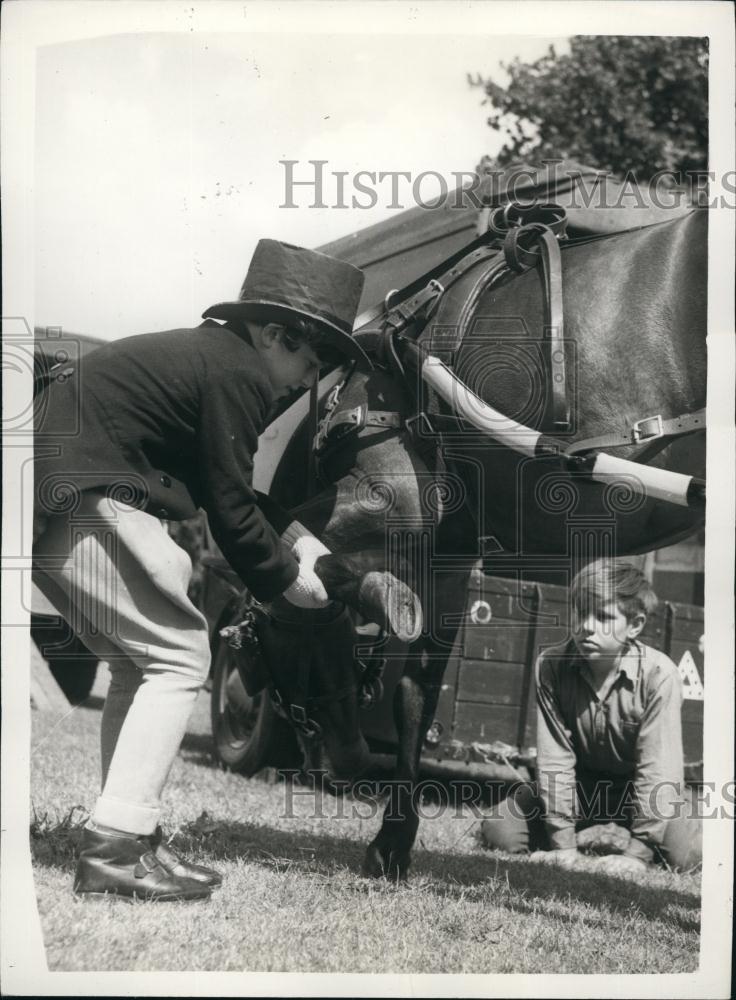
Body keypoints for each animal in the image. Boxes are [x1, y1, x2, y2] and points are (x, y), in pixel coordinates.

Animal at [226, 207, 708, 880]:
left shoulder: (391, 502)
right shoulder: (446, 554)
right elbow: (415, 692)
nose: (342, 761)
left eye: (265, 653)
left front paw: (374, 594)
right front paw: (394, 840)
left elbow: (310, 553)